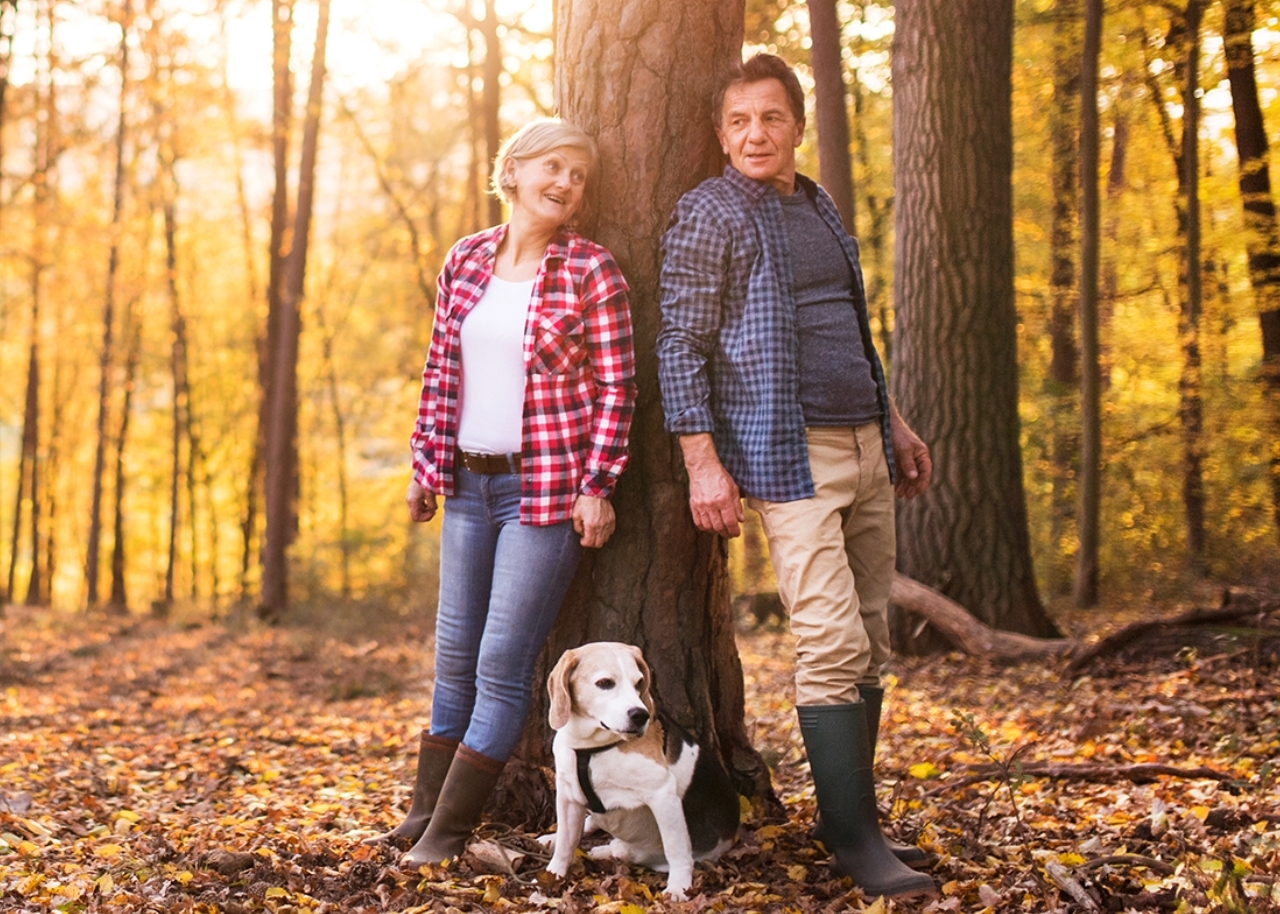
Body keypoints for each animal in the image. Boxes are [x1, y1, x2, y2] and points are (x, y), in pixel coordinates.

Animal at [542, 640, 742, 896]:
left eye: (639, 684)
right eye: (605, 683)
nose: (640, 716)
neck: (592, 747)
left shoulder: (663, 796)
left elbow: (676, 848)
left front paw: (679, 887)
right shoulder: (568, 795)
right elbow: (566, 844)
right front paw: (553, 874)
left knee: (624, 849)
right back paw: (554, 837)